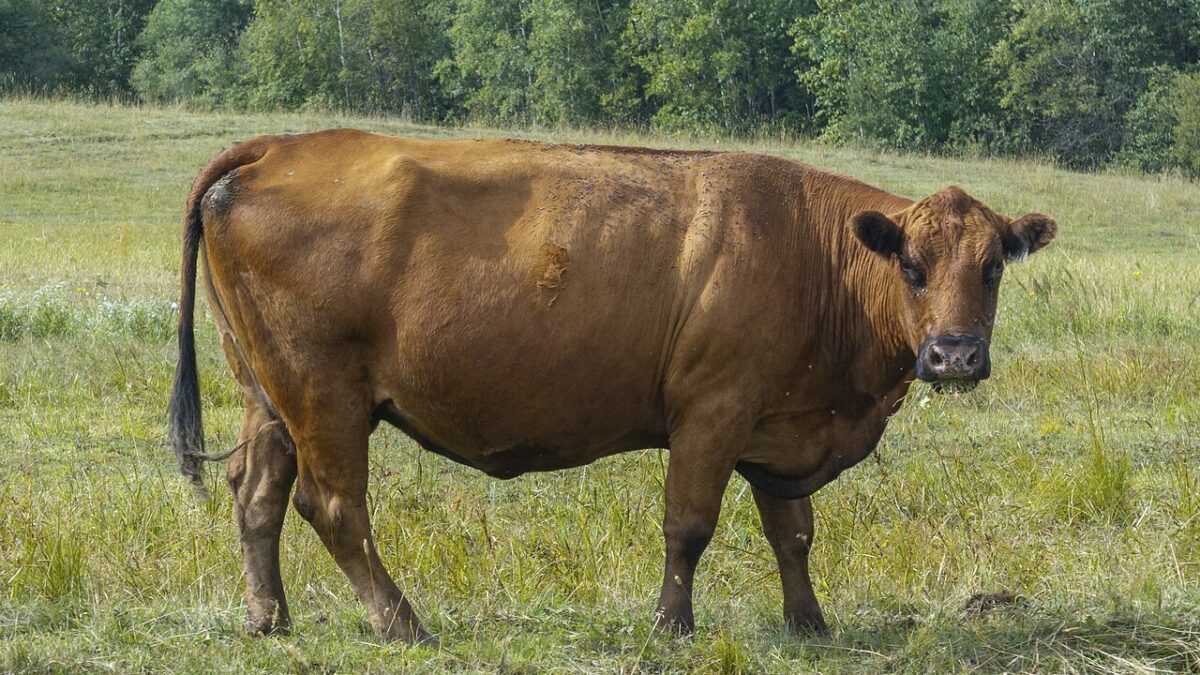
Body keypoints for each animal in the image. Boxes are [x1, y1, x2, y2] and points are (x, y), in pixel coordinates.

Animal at [169, 130, 1056, 644]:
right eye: (911, 265)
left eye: (991, 266)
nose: (953, 356)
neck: (812, 252)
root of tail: (279, 146)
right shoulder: (712, 413)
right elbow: (689, 526)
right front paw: (672, 624)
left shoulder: (778, 424)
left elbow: (793, 532)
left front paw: (809, 623)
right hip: (325, 397)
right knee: (334, 508)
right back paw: (402, 623)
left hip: (269, 395)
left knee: (256, 491)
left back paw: (269, 617)